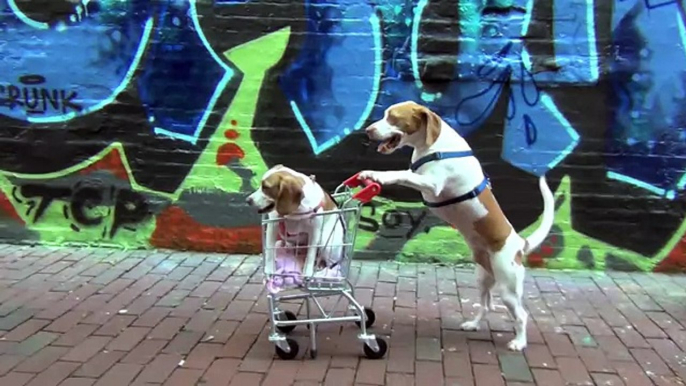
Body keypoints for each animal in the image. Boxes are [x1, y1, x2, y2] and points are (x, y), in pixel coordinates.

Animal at [360, 101, 560, 352]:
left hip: (509, 288)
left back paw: (519, 342)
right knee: (486, 305)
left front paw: (376, 175)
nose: (367, 131)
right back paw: (473, 325)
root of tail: (520, 244)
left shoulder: (431, 184)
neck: (433, 145)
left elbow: (400, 174)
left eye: (393, 118)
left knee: (521, 315)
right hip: (483, 278)